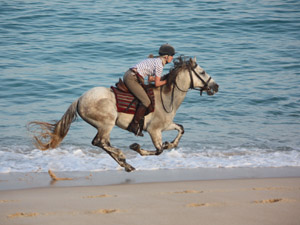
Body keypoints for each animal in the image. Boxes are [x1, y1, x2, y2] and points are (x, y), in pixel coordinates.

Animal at [28, 56, 219, 172]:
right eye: (202, 72)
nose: (216, 86)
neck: (166, 97)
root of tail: (80, 99)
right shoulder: (154, 130)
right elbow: (158, 151)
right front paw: (137, 147)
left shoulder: (165, 126)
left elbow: (180, 129)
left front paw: (170, 144)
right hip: (107, 123)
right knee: (99, 142)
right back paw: (122, 157)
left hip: (105, 125)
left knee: (102, 143)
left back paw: (126, 164)